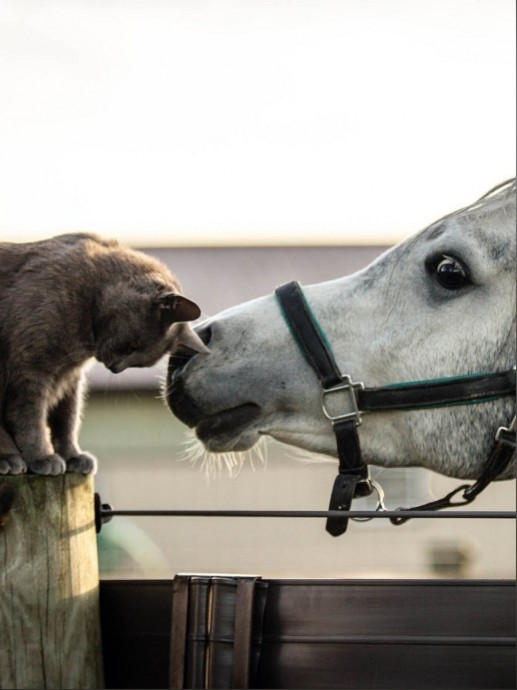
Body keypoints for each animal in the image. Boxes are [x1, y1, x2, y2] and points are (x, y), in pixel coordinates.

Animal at [0, 231, 206, 472]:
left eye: (140, 362)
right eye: (133, 345)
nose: (116, 368)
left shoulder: (69, 379)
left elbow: (66, 419)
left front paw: (72, 456)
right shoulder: (31, 369)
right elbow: (30, 418)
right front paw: (43, 457)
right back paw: (9, 459)